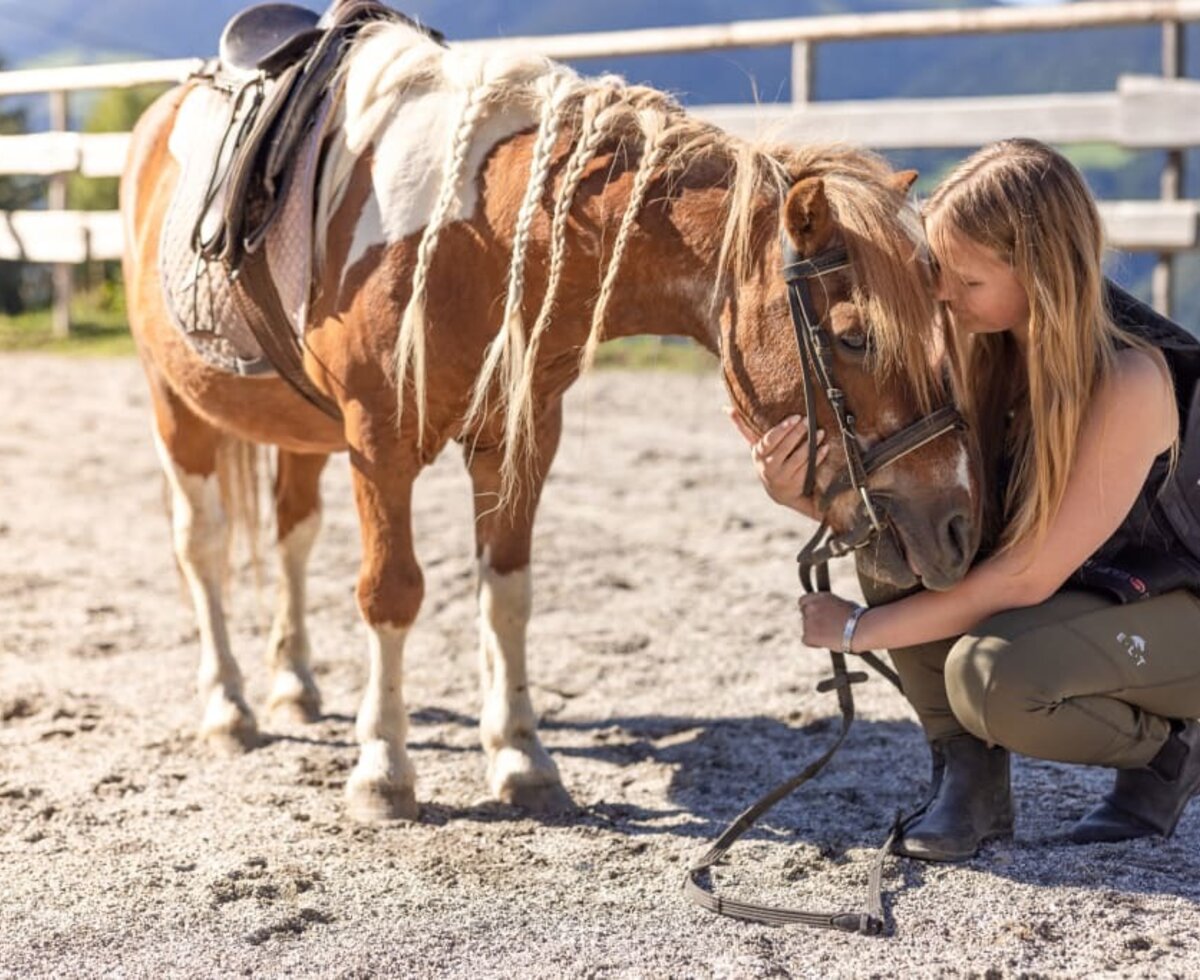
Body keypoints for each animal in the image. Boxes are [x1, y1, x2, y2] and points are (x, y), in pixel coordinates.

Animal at [121, 11, 979, 820]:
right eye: (855, 336)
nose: (956, 527)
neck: (478, 237)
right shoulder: (380, 441)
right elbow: (390, 592)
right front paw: (384, 770)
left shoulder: (520, 435)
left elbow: (507, 593)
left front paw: (520, 759)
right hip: (177, 410)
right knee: (201, 546)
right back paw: (229, 706)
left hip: (301, 433)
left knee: (293, 537)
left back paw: (294, 684)